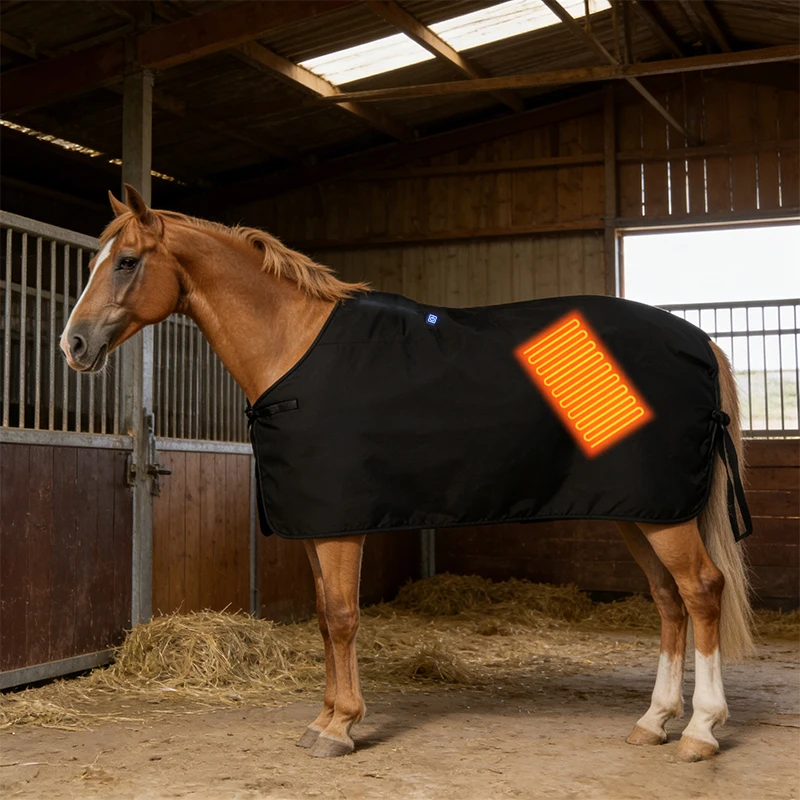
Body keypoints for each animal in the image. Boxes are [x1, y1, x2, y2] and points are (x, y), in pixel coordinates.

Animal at [61, 184, 754, 762]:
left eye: (126, 262)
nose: (73, 345)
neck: (294, 345)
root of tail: (698, 343)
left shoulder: (340, 527)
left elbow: (343, 616)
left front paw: (341, 727)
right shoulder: (314, 525)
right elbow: (323, 615)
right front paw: (323, 719)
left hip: (663, 515)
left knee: (701, 591)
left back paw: (700, 729)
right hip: (643, 511)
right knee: (668, 600)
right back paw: (654, 721)